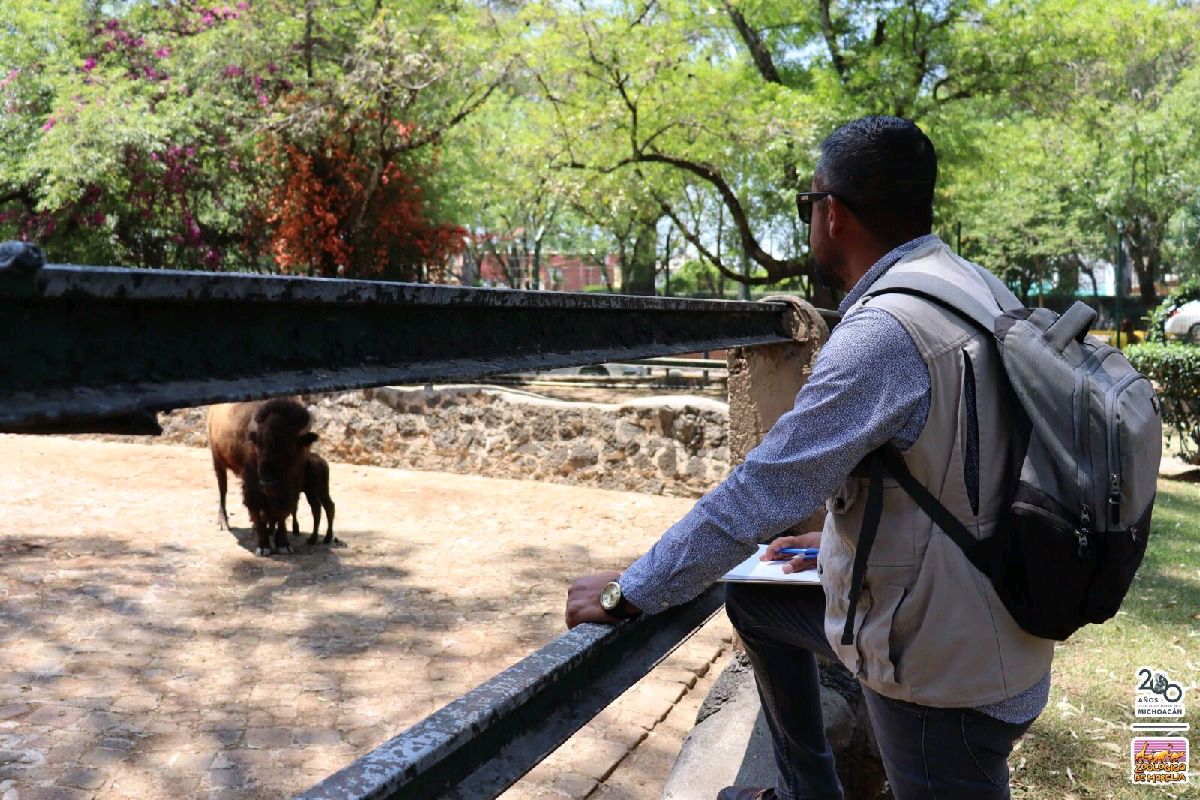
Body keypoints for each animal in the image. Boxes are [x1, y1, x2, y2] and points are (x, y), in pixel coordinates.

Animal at [207, 398, 316, 556]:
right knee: (223, 490)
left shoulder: (292, 485)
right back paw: (223, 523)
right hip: (218, 460)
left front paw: (283, 544)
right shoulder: (253, 485)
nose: (268, 483)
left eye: (289, 446)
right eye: (259, 444)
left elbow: (282, 512)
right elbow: (258, 510)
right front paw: (263, 547)